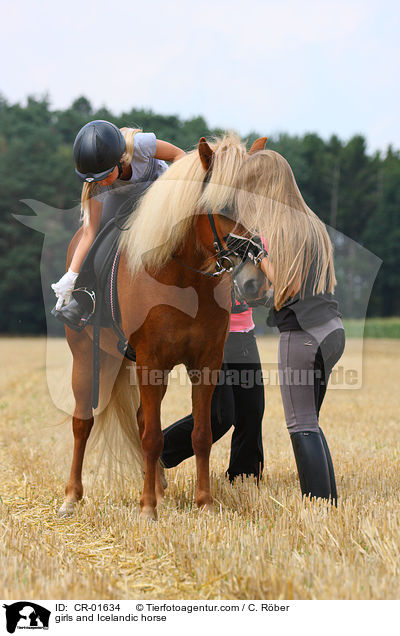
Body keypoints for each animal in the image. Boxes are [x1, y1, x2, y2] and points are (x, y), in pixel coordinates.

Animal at [59, 132, 268, 520]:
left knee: (142, 420)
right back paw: (72, 497)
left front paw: (204, 503)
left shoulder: (205, 363)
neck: (184, 278)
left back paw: (156, 488)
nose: (254, 283)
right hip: (87, 357)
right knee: (83, 422)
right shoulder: (150, 361)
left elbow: (200, 435)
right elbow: (153, 437)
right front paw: (147, 510)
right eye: (222, 205)